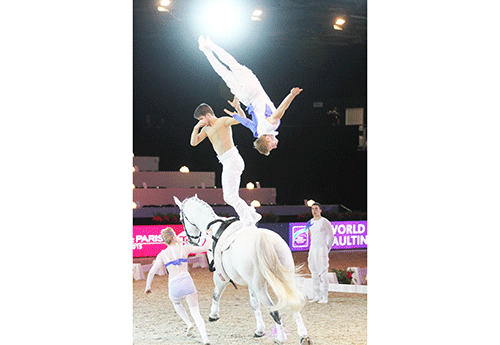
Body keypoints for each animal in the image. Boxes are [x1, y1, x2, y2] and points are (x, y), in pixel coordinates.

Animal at [174, 195, 310, 342]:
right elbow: (254, 304)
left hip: (261, 287)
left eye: (181, 219)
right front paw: (259, 330)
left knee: (274, 310)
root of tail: (264, 239)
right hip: (284, 278)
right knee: (293, 303)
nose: (191, 241)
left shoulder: (221, 276)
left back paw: (281, 338)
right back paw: (303, 335)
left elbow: (216, 294)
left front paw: (213, 315)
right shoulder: (250, 282)